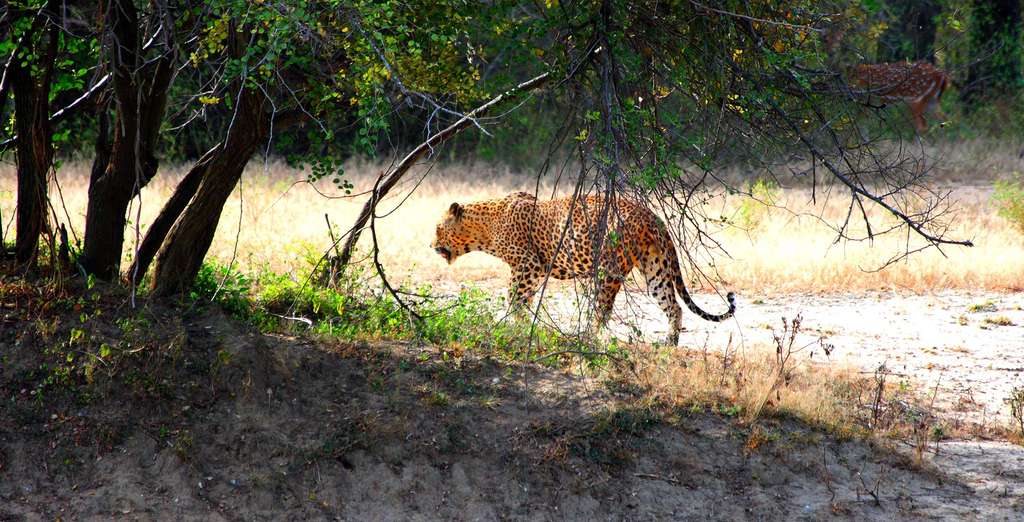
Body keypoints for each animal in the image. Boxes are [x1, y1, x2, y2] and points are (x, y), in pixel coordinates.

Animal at [432, 189, 737, 343]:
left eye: (437, 228)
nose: (431, 244)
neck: (484, 228)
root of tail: (651, 215)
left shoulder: (528, 265)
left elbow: (514, 299)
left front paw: (512, 327)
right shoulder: (532, 271)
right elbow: (522, 301)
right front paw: (523, 327)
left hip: (608, 269)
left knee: (602, 310)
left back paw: (586, 338)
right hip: (656, 268)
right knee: (673, 306)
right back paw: (670, 345)